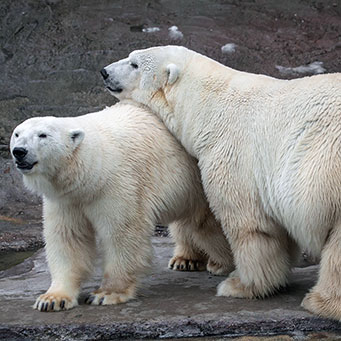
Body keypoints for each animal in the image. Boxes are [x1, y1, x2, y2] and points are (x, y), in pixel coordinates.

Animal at [11, 101, 234, 310]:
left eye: (43, 135)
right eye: (17, 133)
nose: (19, 151)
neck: (93, 170)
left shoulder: (117, 185)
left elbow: (122, 234)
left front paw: (105, 294)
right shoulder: (66, 199)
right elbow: (68, 238)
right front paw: (51, 299)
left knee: (206, 222)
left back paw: (219, 263)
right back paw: (186, 259)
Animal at [101, 46, 341, 320]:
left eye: (134, 64)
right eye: (132, 57)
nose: (105, 72)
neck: (209, 108)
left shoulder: (233, 154)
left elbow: (250, 226)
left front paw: (239, 284)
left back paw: (320, 301)